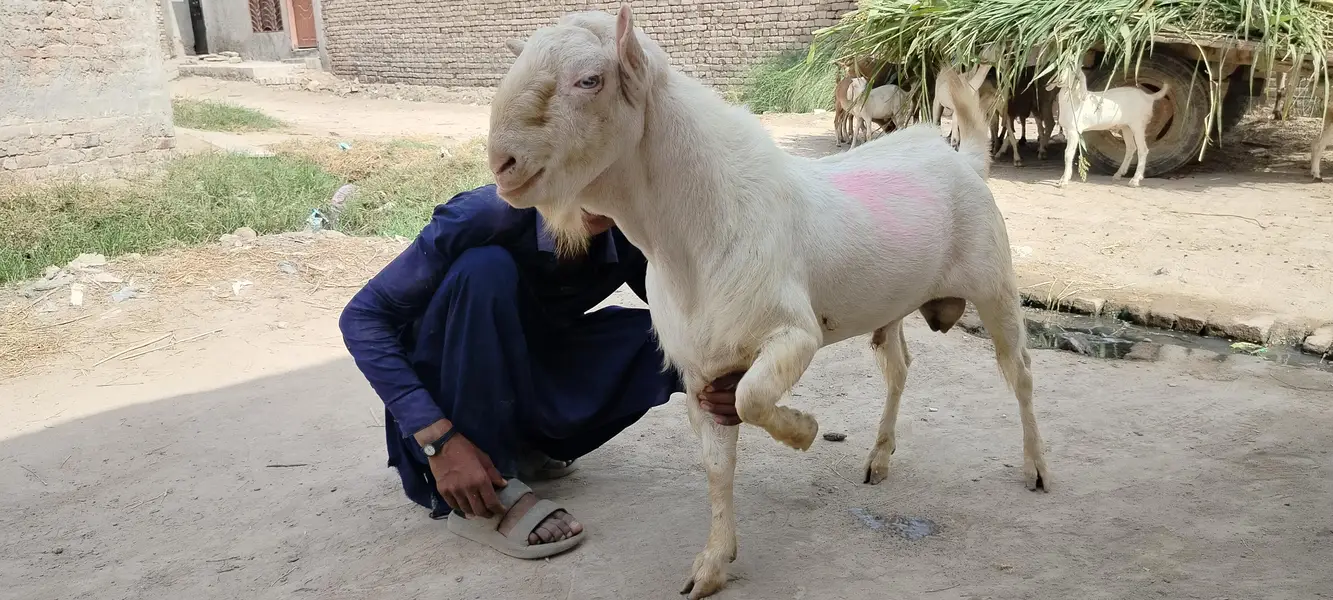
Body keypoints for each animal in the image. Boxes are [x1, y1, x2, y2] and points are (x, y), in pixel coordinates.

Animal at [488, 7, 1050, 598]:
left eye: (589, 81)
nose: (501, 163)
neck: (697, 233)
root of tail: (964, 160)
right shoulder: (699, 364)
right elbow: (717, 465)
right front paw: (713, 563)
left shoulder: (793, 334)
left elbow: (750, 398)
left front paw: (804, 431)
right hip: (895, 302)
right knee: (898, 368)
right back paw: (879, 457)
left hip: (994, 282)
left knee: (1019, 371)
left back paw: (1036, 468)